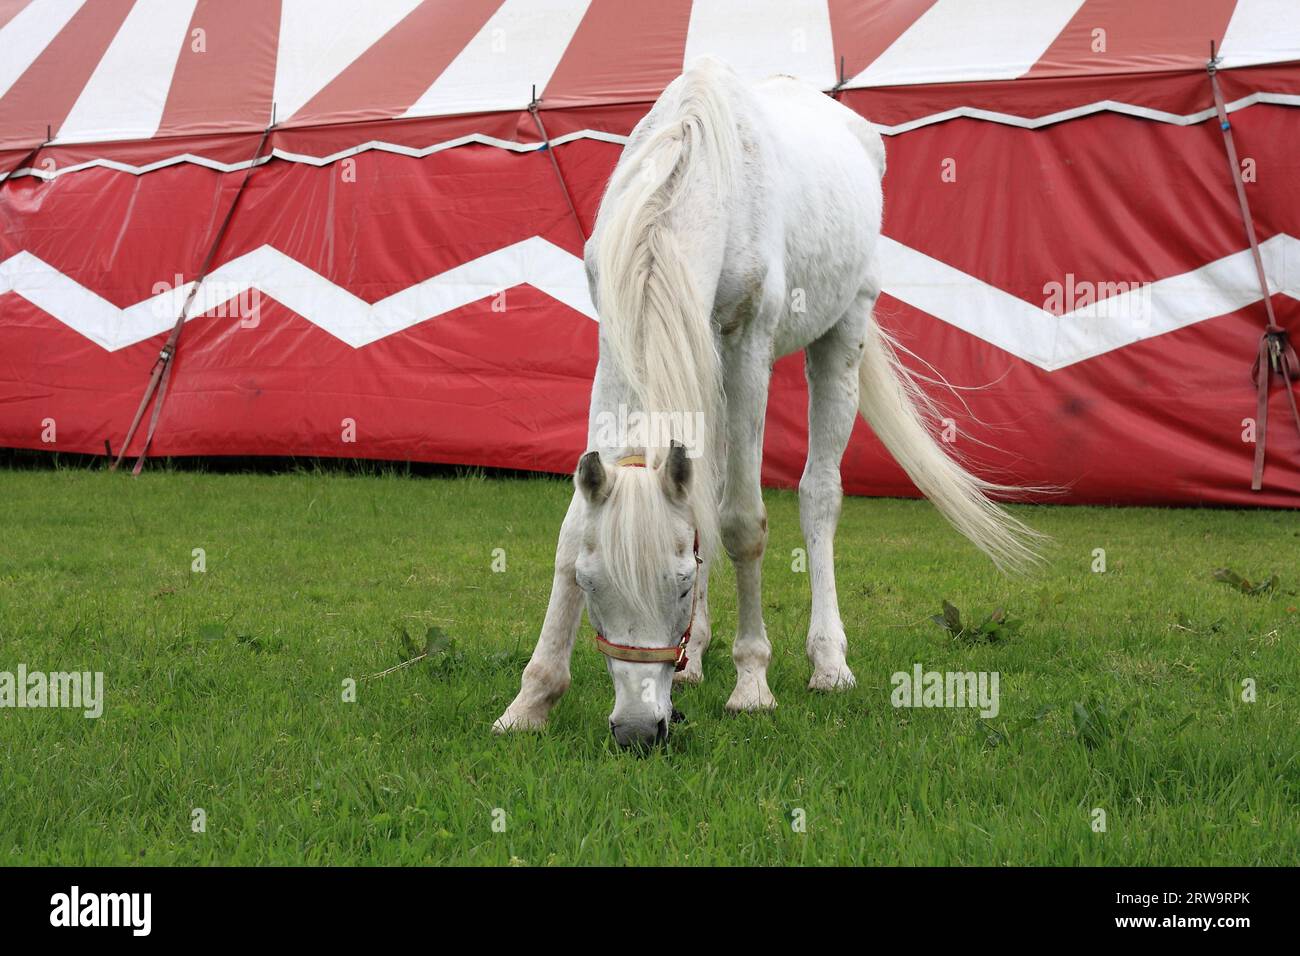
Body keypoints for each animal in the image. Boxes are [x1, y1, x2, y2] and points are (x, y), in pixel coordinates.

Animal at [488, 55, 1034, 749]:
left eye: (681, 584)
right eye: (591, 584)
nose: (639, 731)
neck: (692, 174)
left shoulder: (747, 346)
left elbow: (743, 523)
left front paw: (752, 683)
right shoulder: (617, 344)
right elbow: (576, 529)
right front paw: (531, 699)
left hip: (841, 334)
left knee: (818, 494)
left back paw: (828, 661)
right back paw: (697, 659)